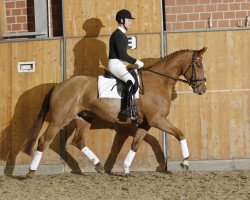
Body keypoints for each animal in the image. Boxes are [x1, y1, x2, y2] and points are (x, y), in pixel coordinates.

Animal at [23, 46, 207, 177]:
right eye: (198, 65)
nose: (202, 89)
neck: (158, 81)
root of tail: (59, 86)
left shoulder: (146, 123)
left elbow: (136, 143)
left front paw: (125, 168)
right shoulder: (157, 120)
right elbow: (180, 133)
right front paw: (185, 162)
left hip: (83, 118)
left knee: (78, 141)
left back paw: (98, 165)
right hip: (59, 119)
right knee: (44, 141)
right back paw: (31, 172)